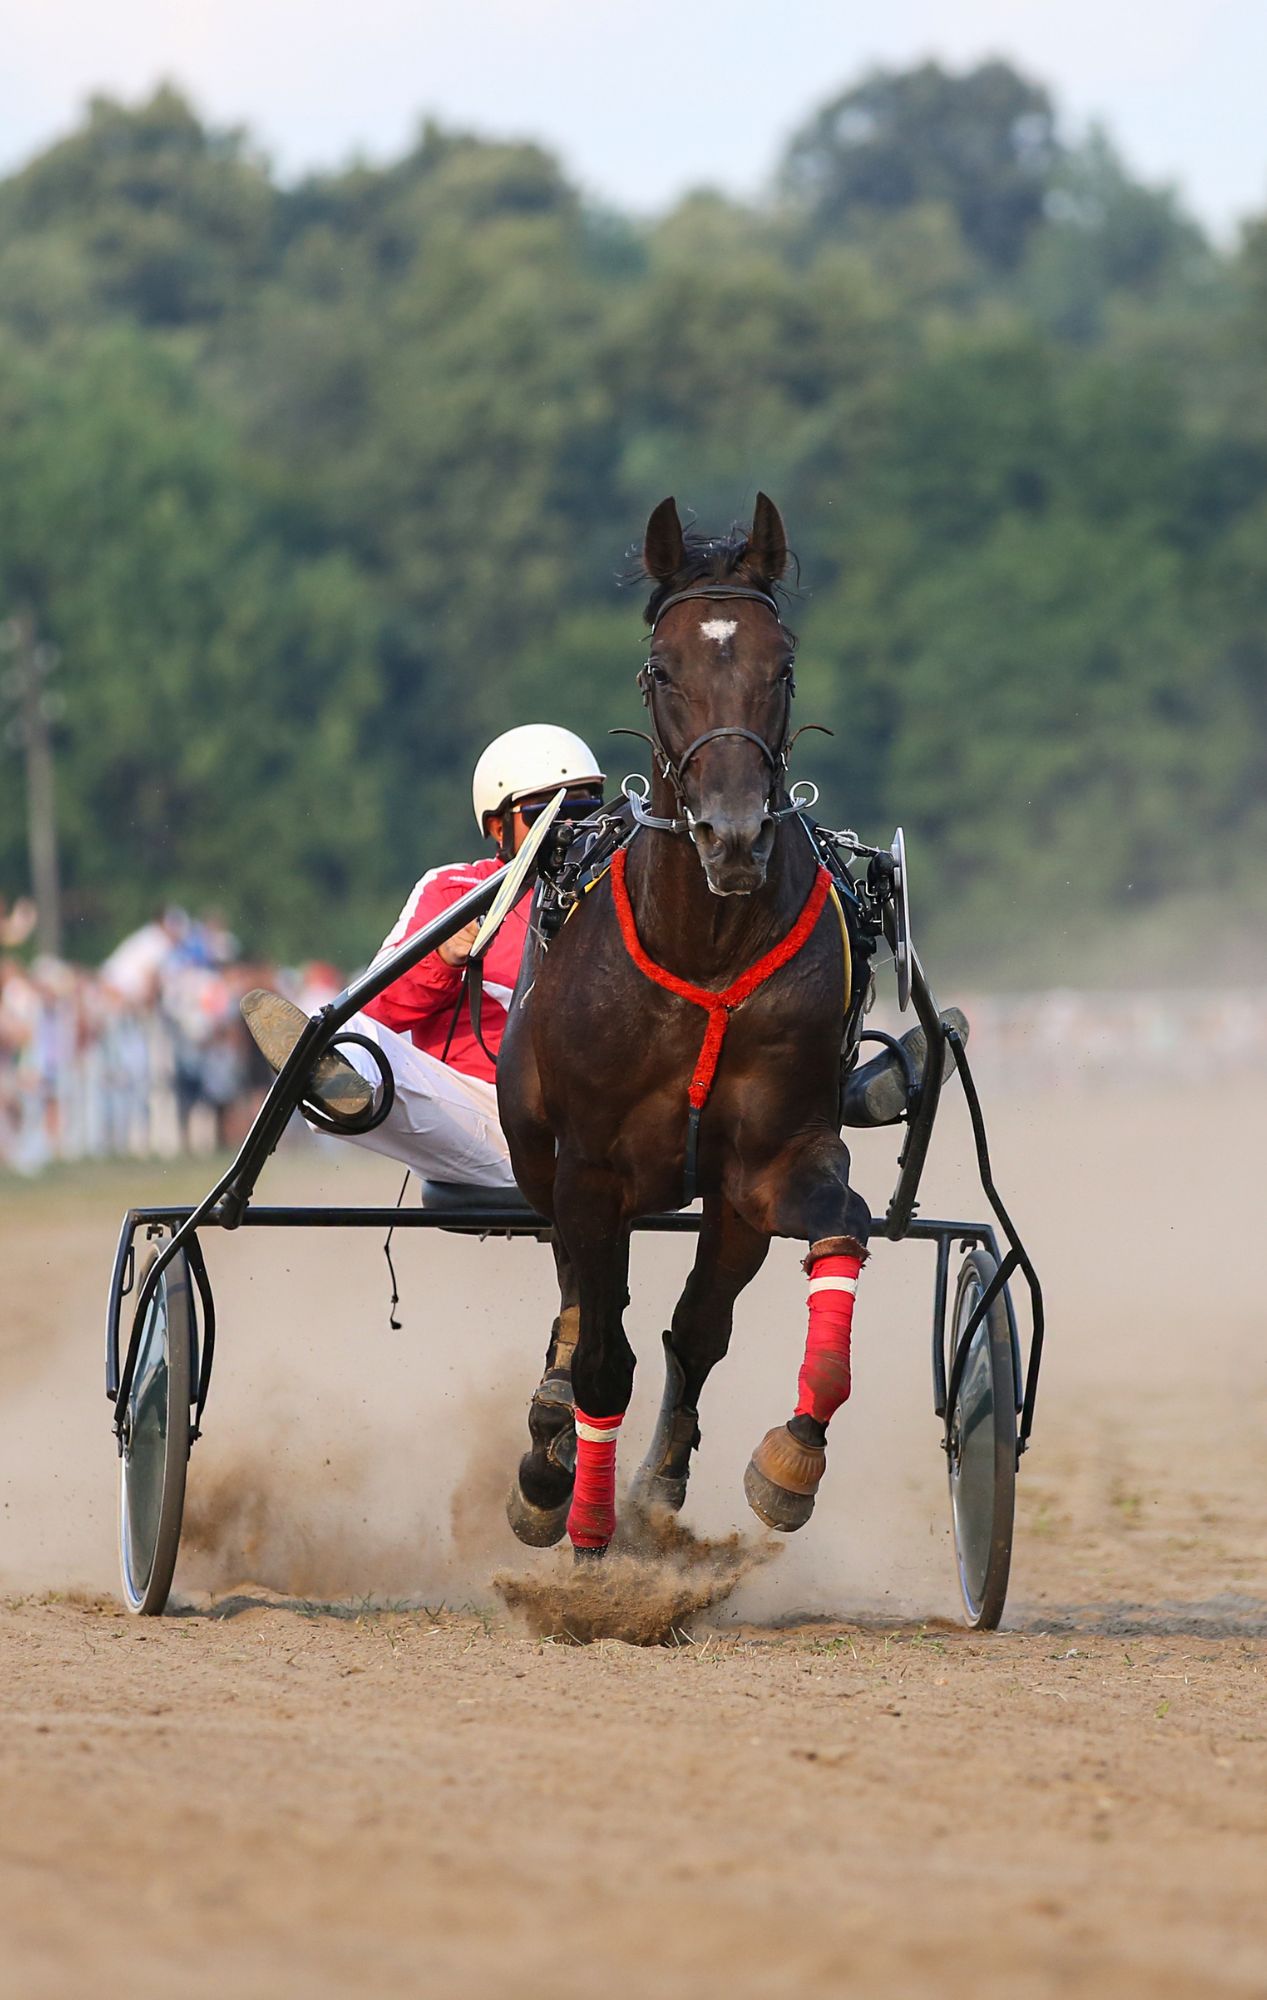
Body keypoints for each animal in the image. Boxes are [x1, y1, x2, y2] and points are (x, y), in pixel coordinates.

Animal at [498, 494, 872, 1555]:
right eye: (661, 668)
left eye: (780, 665)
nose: (733, 834)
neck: (705, 949)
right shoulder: (588, 1168)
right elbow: (599, 1358)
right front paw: (579, 1517)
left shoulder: (772, 1162)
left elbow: (830, 1239)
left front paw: (786, 1460)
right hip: (540, 1159)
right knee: (581, 1306)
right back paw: (552, 1452)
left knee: (689, 1325)